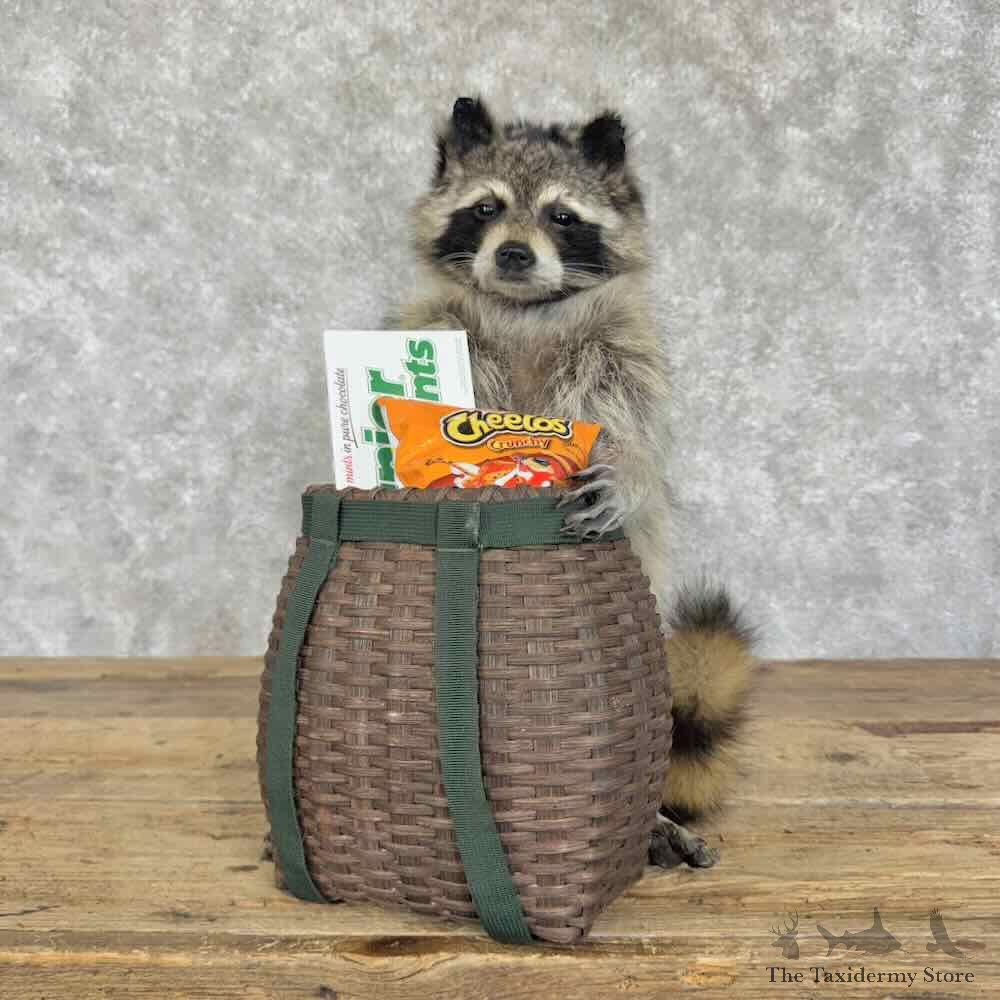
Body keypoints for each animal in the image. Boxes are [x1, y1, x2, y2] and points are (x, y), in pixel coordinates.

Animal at [388, 97, 755, 867]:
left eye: (562, 215)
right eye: (486, 207)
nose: (513, 254)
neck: (526, 309)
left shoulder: (624, 355)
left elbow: (640, 446)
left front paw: (626, 473)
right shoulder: (435, 325)